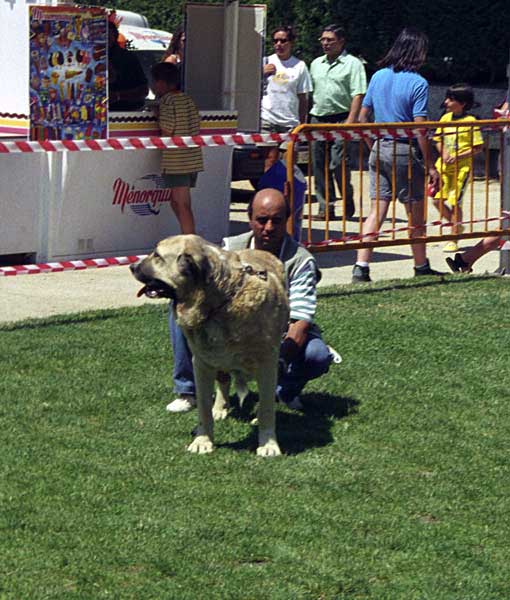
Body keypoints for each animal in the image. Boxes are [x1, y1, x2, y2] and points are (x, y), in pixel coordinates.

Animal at [131, 236, 288, 460]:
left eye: (157, 256)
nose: (131, 266)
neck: (221, 301)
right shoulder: (202, 363)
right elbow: (203, 409)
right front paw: (202, 441)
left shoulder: (267, 363)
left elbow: (266, 408)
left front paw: (268, 444)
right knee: (223, 380)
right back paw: (220, 408)